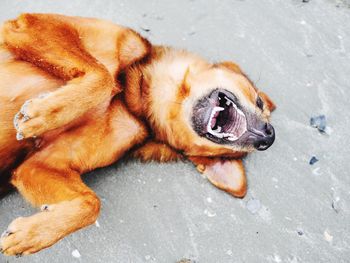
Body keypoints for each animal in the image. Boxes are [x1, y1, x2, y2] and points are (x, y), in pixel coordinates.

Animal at [0, 13, 274, 256]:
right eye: (259, 101)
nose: (268, 137)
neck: (135, 100)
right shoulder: (29, 25)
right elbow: (103, 77)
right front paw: (43, 114)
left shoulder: (39, 165)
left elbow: (91, 204)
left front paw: (31, 235)